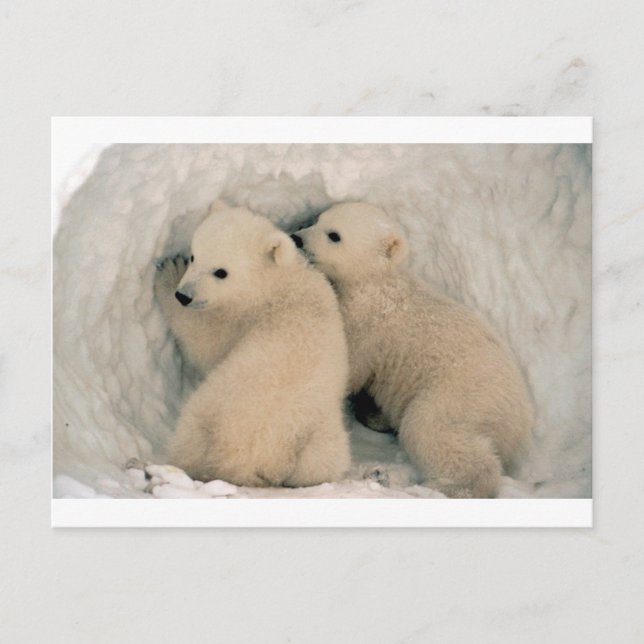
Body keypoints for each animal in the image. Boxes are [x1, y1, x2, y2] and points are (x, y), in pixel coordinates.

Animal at [154, 203, 351, 487]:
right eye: (194, 255)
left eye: (221, 272)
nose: (184, 295)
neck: (277, 282)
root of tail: (251, 460)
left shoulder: (240, 318)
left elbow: (205, 343)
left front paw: (168, 272)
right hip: (317, 441)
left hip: (210, 410)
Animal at [293, 202, 533, 498]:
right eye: (317, 220)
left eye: (334, 235)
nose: (297, 238)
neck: (377, 281)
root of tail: (519, 420)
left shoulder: (368, 323)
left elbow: (349, 364)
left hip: (461, 397)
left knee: (430, 429)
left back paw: (444, 486)